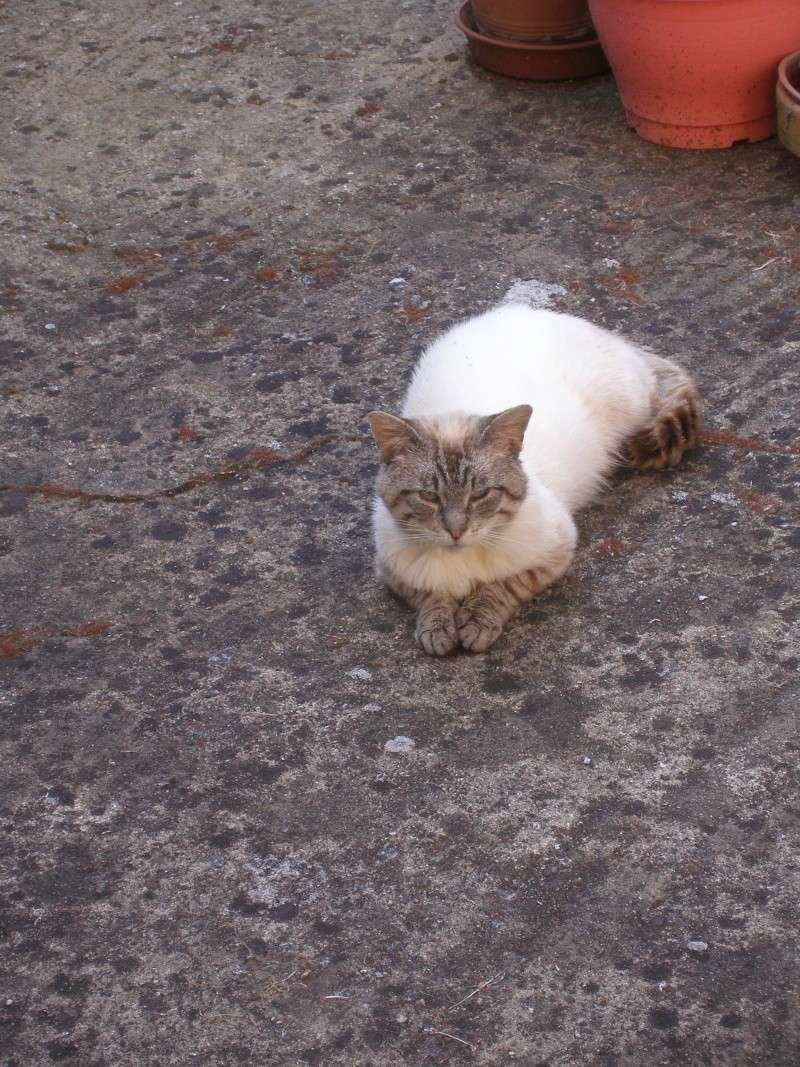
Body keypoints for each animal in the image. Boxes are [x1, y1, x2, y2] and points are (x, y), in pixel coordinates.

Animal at [369, 300, 699, 653]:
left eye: (480, 494)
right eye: (429, 496)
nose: (456, 531)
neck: (464, 558)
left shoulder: (556, 550)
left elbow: (502, 587)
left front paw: (476, 621)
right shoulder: (391, 570)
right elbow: (431, 597)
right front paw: (438, 627)